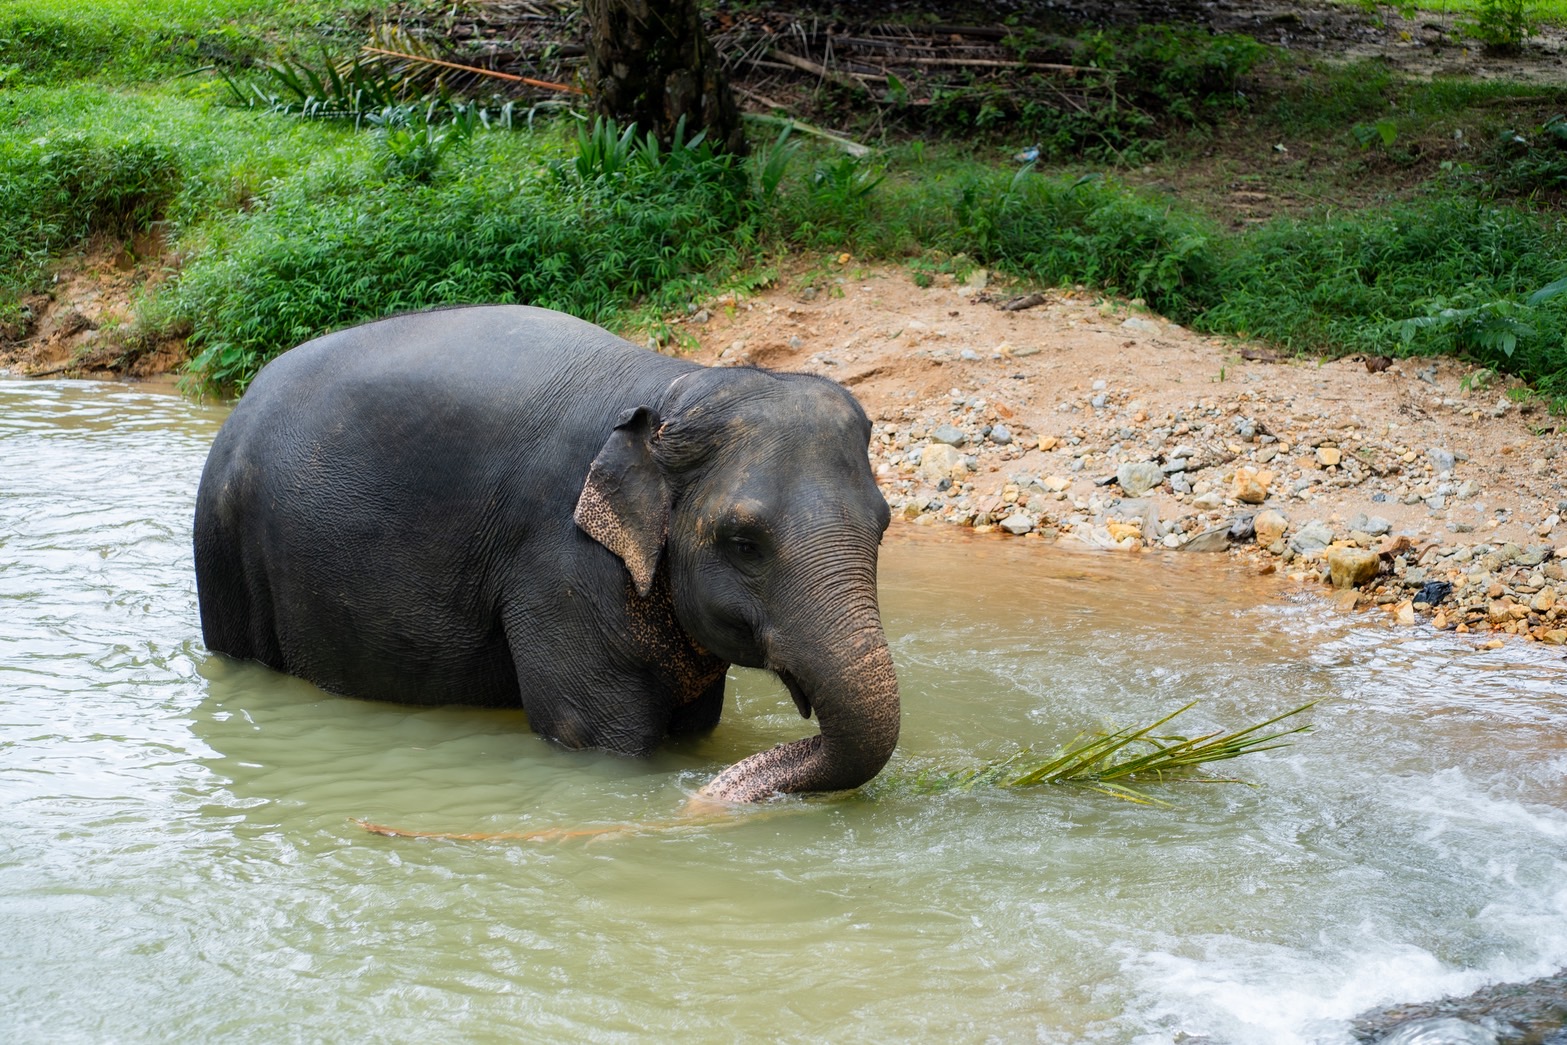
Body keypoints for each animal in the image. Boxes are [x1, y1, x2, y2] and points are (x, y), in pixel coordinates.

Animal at [192, 304, 899, 802]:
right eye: (744, 543)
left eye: (884, 526)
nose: (708, 797)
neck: (676, 384)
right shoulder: (561, 567)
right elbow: (596, 736)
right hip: (223, 546)